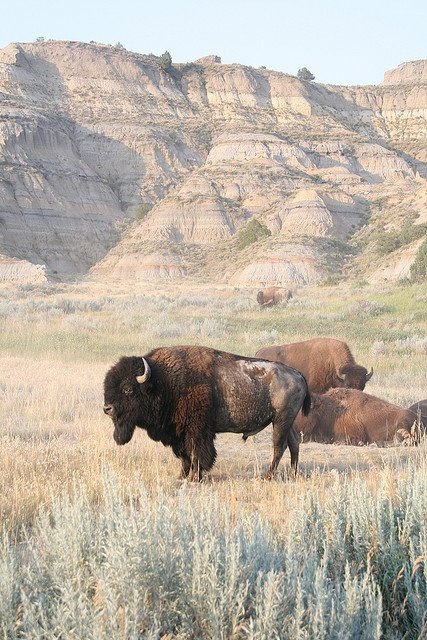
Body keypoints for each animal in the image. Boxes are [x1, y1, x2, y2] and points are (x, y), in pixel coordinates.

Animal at [103, 344, 310, 480]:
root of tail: (298, 374)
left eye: (128, 389)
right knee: (293, 443)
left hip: (281, 420)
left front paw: (195, 477)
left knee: (279, 446)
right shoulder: (179, 434)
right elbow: (184, 456)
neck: (163, 380)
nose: (107, 408)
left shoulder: (197, 431)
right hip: (286, 421)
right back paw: (293, 474)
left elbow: (196, 453)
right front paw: (182, 476)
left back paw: (268, 476)